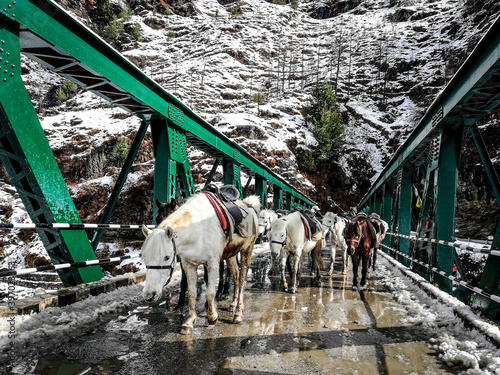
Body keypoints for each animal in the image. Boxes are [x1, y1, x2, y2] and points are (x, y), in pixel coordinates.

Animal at [140, 194, 260, 334]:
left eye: (167, 257)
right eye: (144, 257)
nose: (149, 295)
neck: (197, 230)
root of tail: (250, 205)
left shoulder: (212, 263)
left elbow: (209, 292)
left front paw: (212, 316)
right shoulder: (188, 265)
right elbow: (191, 292)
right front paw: (189, 322)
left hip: (247, 249)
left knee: (242, 279)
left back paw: (238, 313)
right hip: (231, 254)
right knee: (235, 275)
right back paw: (233, 303)